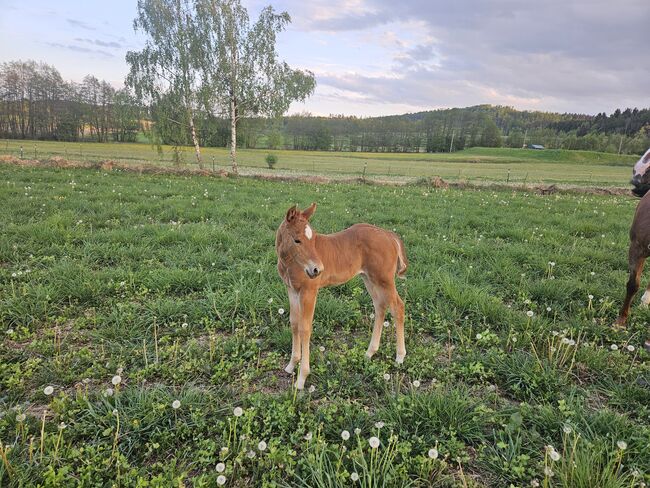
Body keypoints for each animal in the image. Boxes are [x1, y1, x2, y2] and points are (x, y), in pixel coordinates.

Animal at [275, 203, 408, 389]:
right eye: (297, 240)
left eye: (313, 239)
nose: (317, 270)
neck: (289, 263)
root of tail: (388, 234)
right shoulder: (292, 289)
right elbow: (294, 323)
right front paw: (291, 365)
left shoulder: (309, 291)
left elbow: (304, 328)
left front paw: (301, 378)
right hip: (369, 278)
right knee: (380, 306)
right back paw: (370, 352)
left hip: (384, 280)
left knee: (398, 307)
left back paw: (400, 357)